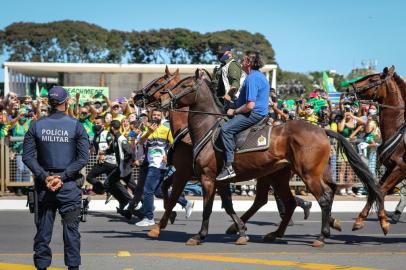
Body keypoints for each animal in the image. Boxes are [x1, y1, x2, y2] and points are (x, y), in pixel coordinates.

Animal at [159, 69, 384, 247]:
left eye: (185, 85)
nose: (163, 99)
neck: (207, 128)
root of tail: (322, 130)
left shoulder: (207, 177)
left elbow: (207, 208)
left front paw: (199, 236)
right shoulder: (219, 180)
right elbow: (227, 206)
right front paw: (240, 230)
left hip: (307, 174)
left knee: (324, 198)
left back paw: (321, 236)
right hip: (280, 176)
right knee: (291, 202)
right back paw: (276, 233)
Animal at [348, 66, 406, 233]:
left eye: (373, 79)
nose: (349, 89)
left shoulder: (401, 168)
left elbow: (381, 190)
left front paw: (384, 222)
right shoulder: (391, 166)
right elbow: (377, 189)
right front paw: (360, 220)